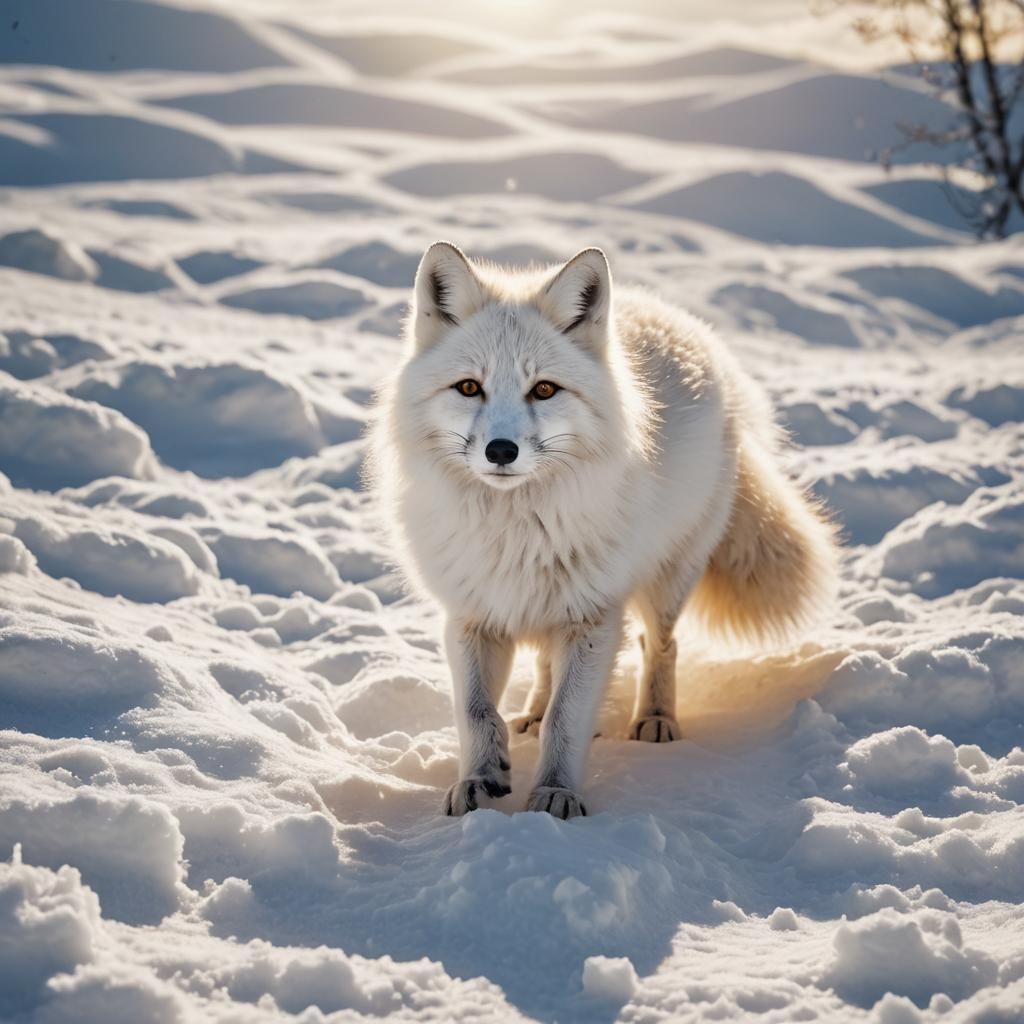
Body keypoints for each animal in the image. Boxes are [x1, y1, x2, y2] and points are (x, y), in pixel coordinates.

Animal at [368, 242, 838, 820]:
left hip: (668, 579)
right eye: (469, 388)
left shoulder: (593, 618)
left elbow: (567, 721)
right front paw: (480, 778)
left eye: (545, 390)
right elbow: (476, 713)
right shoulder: (473, 615)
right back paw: (531, 714)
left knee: (659, 645)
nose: (501, 451)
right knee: (546, 666)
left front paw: (555, 795)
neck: (514, 531)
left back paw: (655, 719)